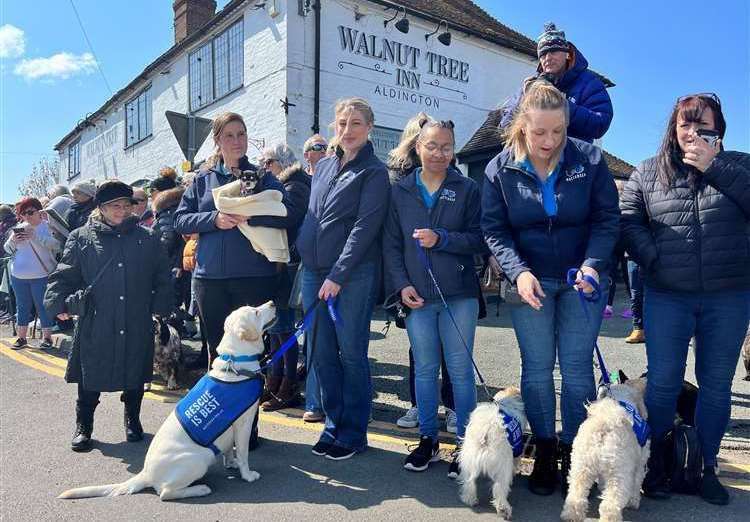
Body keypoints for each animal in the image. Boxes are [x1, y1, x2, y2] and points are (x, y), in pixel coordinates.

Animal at [58, 300, 276, 500]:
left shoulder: (231, 430)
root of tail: (145, 473)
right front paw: (247, 474)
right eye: (256, 312)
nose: (273, 302)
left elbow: (230, 451)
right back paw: (200, 489)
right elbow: (243, 453)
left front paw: (231, 463)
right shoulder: (243, 423)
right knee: (165, 493)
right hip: (200, 458)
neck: (235, 362)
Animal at [458, 386, 528, 516]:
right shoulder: (517, 450)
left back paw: (469, 499)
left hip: (469, 460)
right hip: (503, 465)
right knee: (500, 487)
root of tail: (486, 430)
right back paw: (503, 508)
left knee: (469, 481)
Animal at [564, 374, 652, 520]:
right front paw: (633, 502)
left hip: (581, 467)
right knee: (610, 506)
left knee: (576, 496)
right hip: (618, 475)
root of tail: (605, 424)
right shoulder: (639, 464)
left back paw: (571, 516)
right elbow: (636, 483)